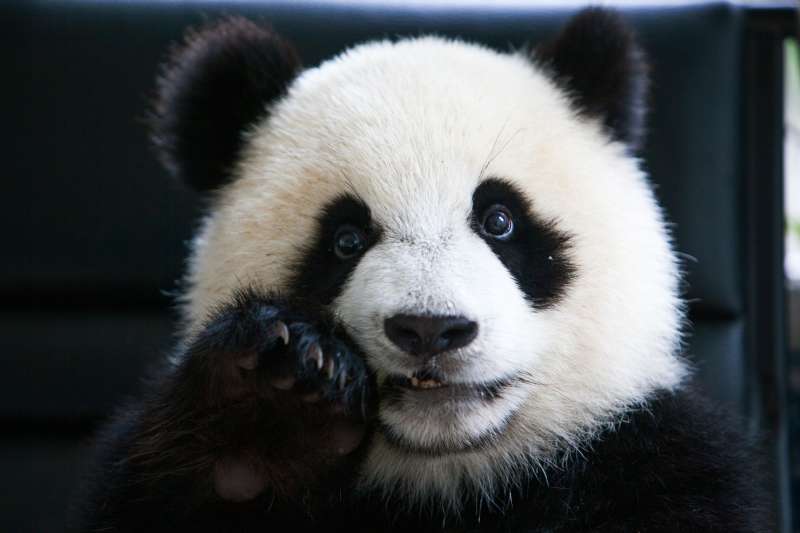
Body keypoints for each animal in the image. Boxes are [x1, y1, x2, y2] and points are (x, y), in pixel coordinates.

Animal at [75, 8, 769, 532]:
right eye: (346, 239)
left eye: (499, 220)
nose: (430, 329)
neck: (448, 478)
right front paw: (269, 407)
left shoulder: (649, 458)